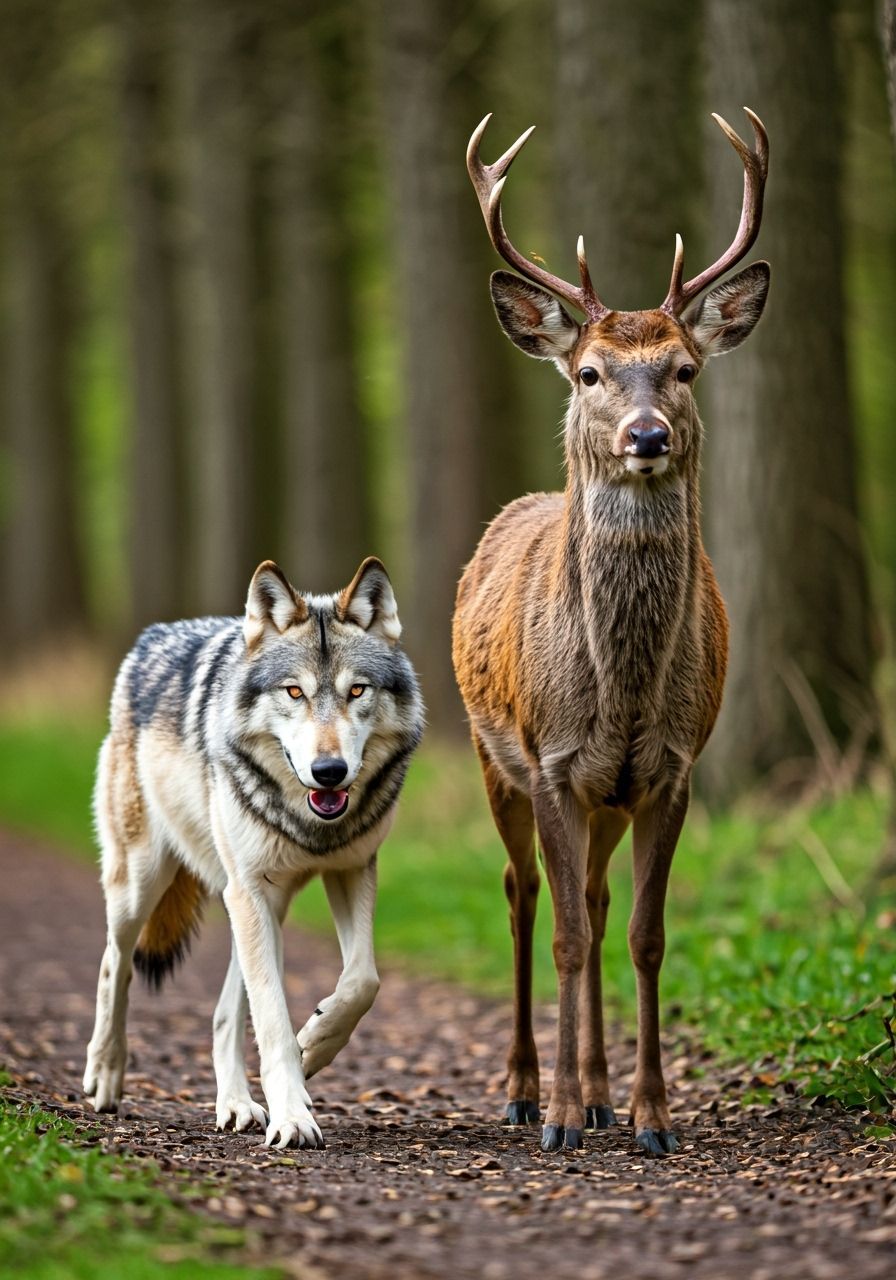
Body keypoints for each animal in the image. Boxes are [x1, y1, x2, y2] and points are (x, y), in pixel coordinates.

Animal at [83, 556, 423, 1149]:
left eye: (357, 691)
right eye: (294, 693)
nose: (329, 771)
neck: (310, 825)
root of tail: (151, 636)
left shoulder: (352, 869)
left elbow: (362, 981)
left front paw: (315, 1045)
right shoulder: (249, 892)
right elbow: (272, 1020)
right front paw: (293, 1117)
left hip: (267, 905)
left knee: (223, 1014)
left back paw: (237, 1105)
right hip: (146, 885)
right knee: (114, 964)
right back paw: (105, 1072)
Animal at [452, 109, 769, 1155]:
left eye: (683, 368)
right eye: (590, 372)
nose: (646, 435)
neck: (622, 688)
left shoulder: (670, 766)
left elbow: (640, 932)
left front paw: (650, 1115)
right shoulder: (550, 758)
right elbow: (565, 936)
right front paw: (554, 1119)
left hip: (608, 796)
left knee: (590, 896)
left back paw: (594, 1092)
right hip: (489, 752)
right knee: (523, 896)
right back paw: (526, 1089)